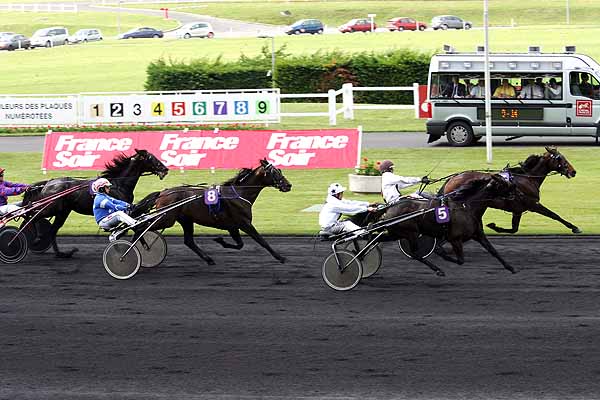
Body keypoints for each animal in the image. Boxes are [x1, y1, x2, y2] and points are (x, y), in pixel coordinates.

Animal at [22, 148, 168, 258]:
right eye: (151, 158)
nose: (165, 169)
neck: (118, 183)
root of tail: (48, 183)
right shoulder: (121, 209)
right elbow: (135, 228)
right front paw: (144, 247)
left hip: (63, 212)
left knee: (51, 229)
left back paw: (62, 254)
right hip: (51, 208)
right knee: (31, 217)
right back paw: (34, 237)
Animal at [131, 159, 292, 266]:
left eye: (279, 170)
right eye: (275, 172)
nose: (288, 185)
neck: (239, 193)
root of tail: (162, 193)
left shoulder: (233, 226)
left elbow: (240, 244)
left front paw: (220, 240)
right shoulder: (244, 223)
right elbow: (262, 241)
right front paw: (280, 257)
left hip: (186, 220)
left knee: (188, 241)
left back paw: (209, 259)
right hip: (166, 219)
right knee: (140, 227)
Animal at [438, 146, 580, 234]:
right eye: (560, 158)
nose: (573, 171)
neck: (528, 178)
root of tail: (452, 178)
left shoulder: (517, 210)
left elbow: (514, 229)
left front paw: (494, 227)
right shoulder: (533, 204)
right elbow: (554, 215)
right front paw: (574, 227)